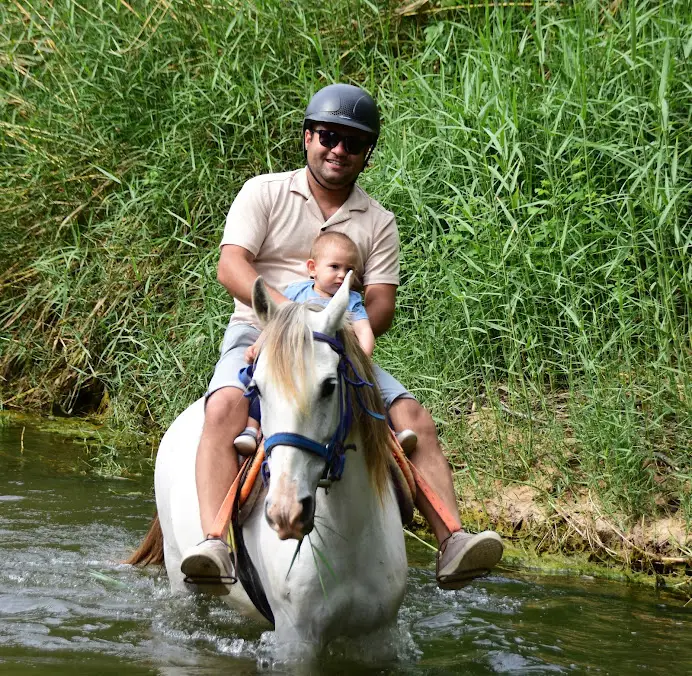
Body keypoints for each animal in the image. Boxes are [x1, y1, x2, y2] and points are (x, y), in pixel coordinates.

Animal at [129, 272, 408, 658]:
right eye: (257, 388)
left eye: (329, 386)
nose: (286, 512)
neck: (350, 537)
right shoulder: (296, 640)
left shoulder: (380, 635)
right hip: (179, 574)